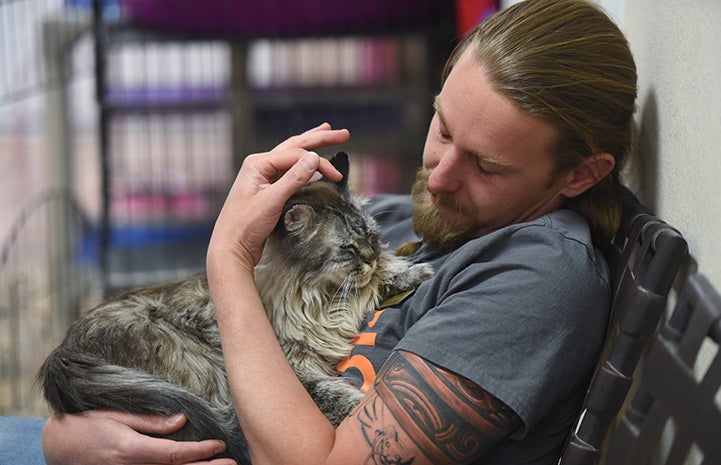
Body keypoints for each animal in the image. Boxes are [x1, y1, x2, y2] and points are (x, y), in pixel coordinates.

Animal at [36, 151, 434, 460]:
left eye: (370, 236)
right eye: (347, 248)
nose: (368, 257)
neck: (313, 294)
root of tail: (63, 354)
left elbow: (377, 283)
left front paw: (412, 273)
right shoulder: (298, 369)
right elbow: (336, 395)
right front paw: (363, 409)